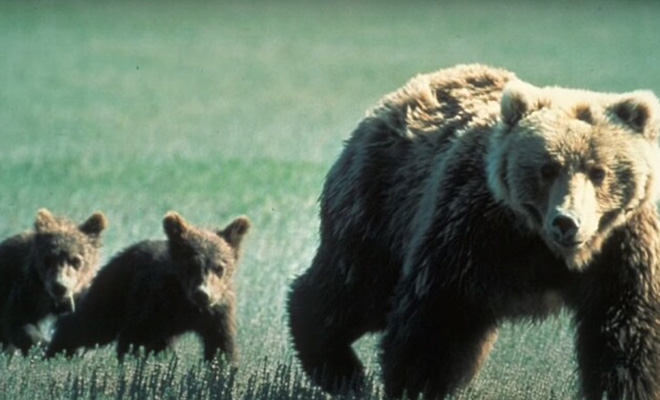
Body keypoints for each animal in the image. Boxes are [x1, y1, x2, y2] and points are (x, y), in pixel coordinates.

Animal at [0, 208, 108, 354]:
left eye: (75, 260)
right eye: (48, 259)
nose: (59, 286)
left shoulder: (80, 296)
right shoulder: (27, 290)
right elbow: (18, 321)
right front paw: (43, 346)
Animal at [44, 211, 250, 364]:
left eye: (219, 267)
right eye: (191, 264)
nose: (203, 294)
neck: (186, 303)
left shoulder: (217, 313)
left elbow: (221, 346)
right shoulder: (154, 303)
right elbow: (137, 338)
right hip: (114, 289)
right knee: (92, 323)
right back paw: (57, 351)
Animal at [288, 64, 660, 398]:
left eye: (599, 171)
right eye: (547, 168)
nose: (567, 221)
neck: (546, 249)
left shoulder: (626, 251)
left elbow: (626, 337)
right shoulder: (472, 230)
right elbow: (437, 318)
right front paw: (415, 387)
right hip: (381, 203)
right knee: (353, 287)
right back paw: (339, 369)